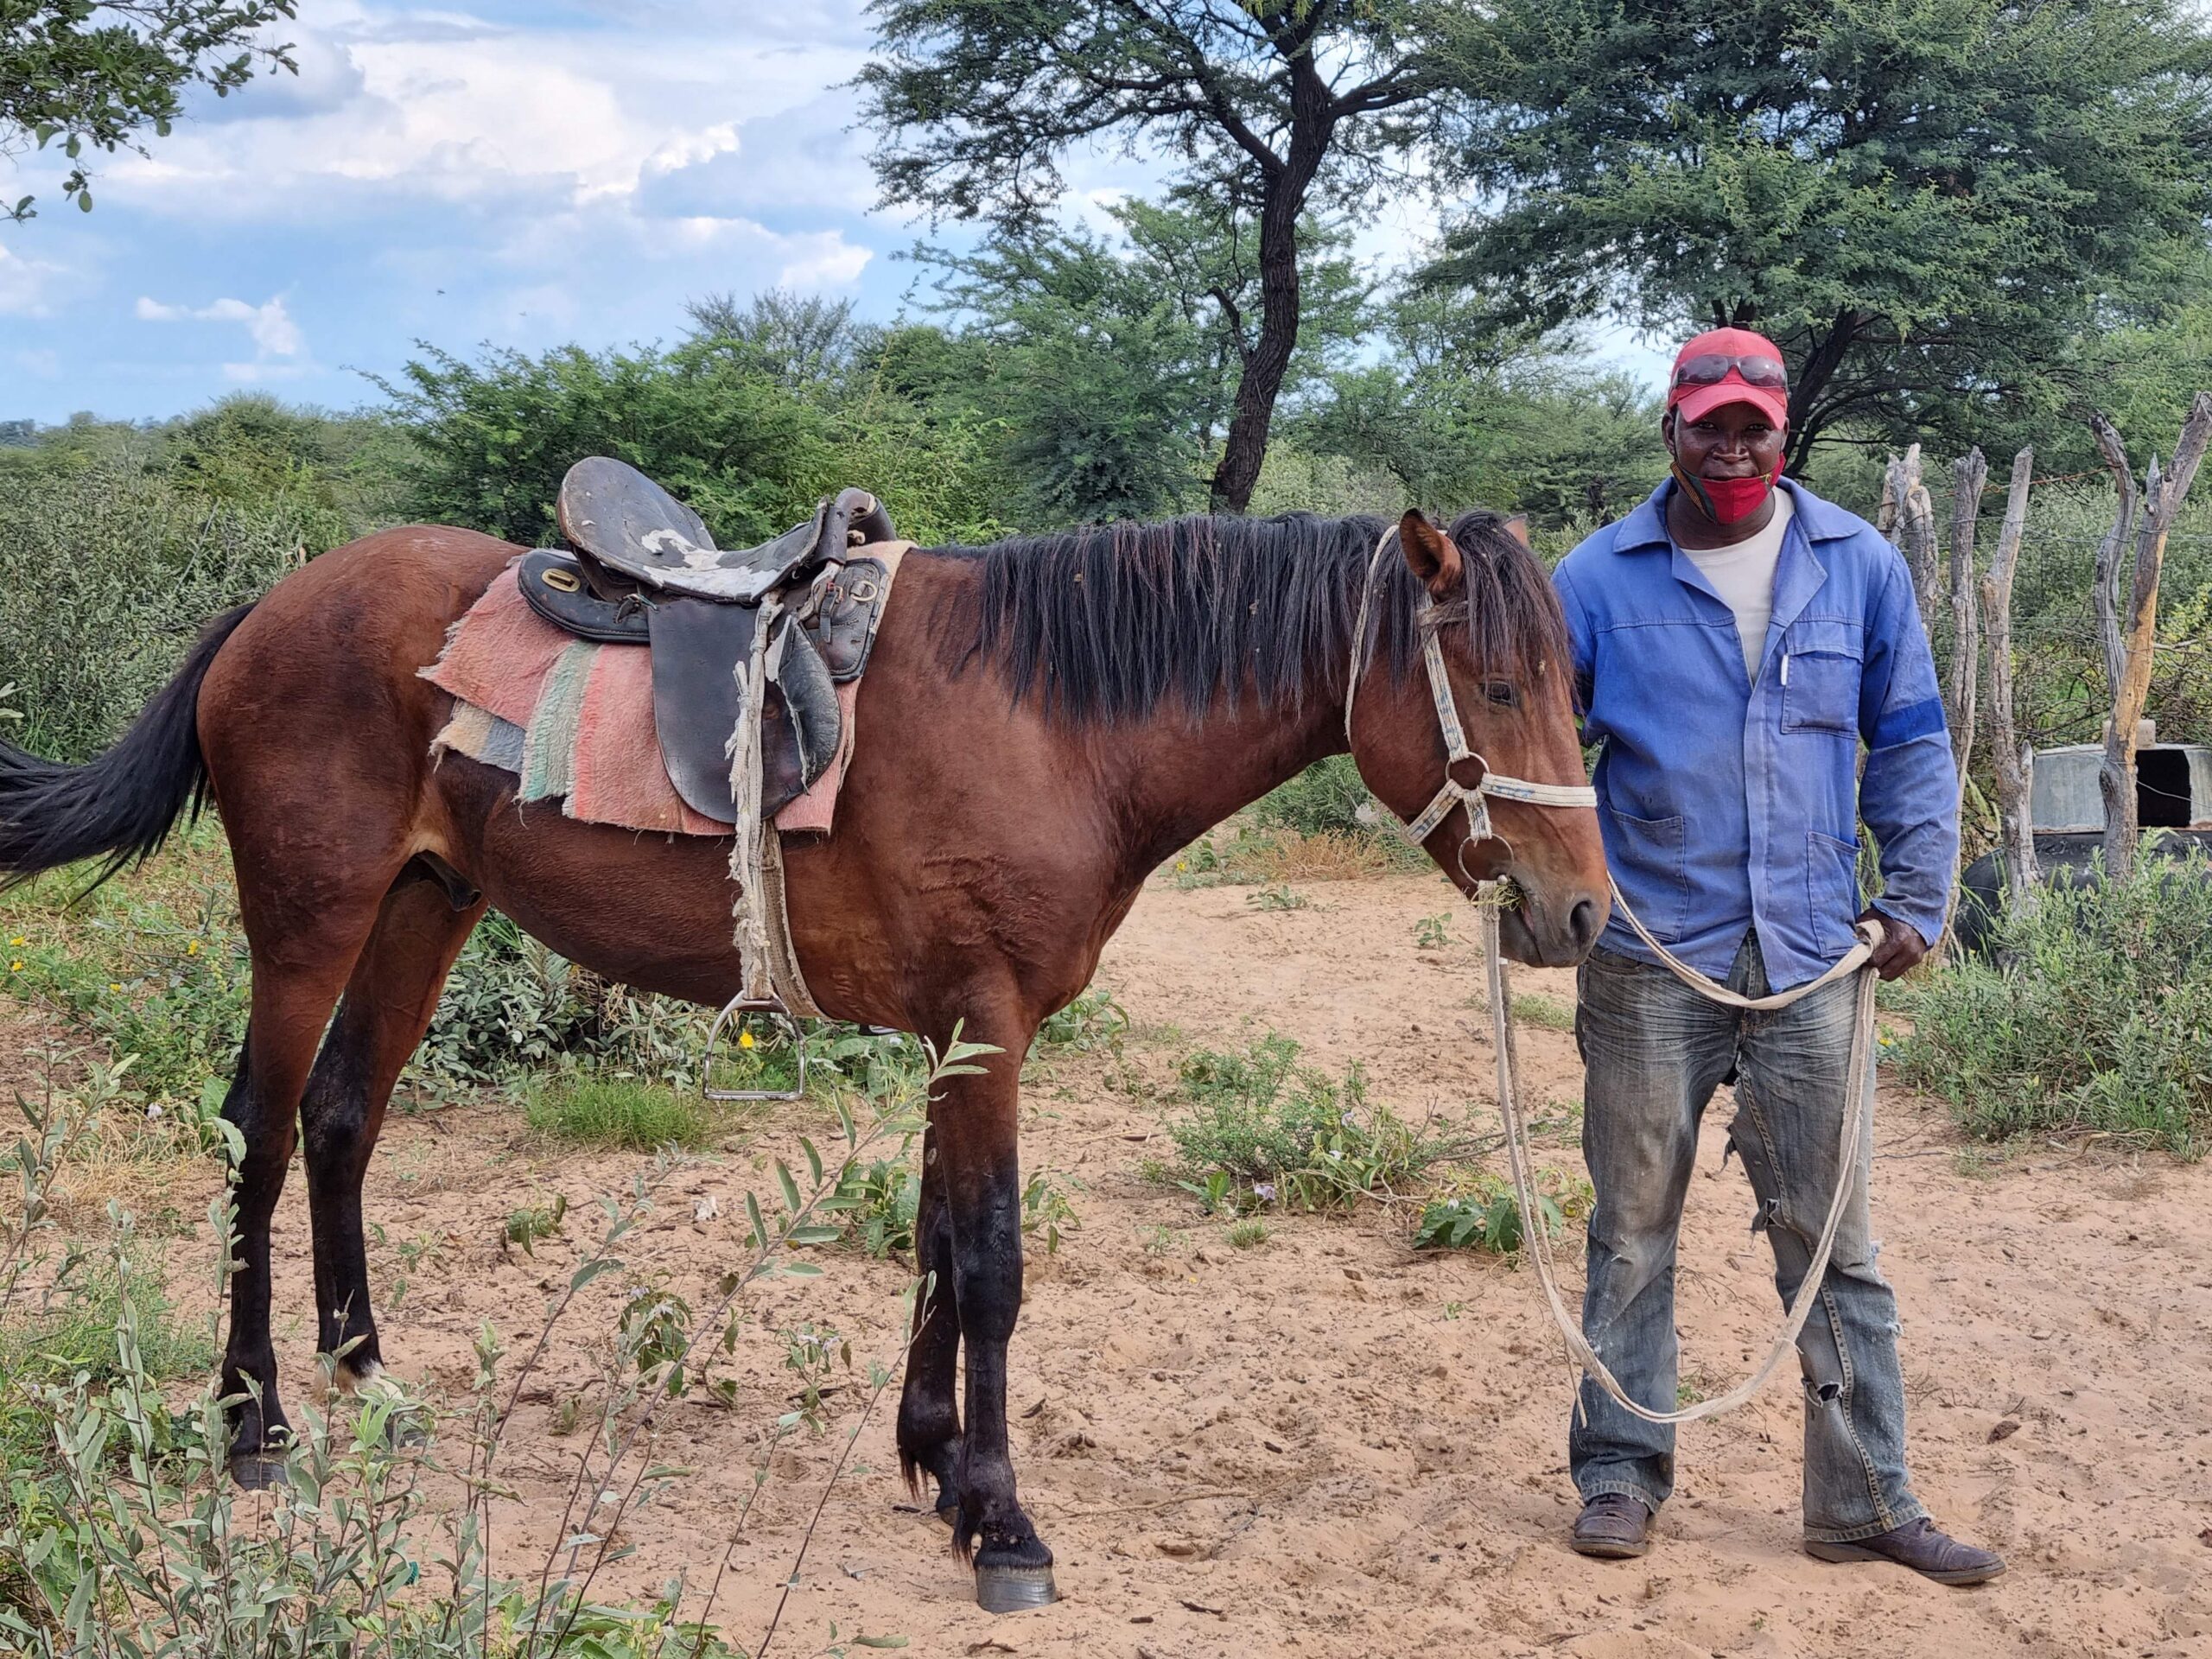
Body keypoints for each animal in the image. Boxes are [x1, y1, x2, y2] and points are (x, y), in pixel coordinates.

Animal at [0, 504, 1610, 1610]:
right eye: (1502, 687)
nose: (1584, 911)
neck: (1055, 721)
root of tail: (273, 608)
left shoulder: (959, 1031)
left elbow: (937, 1241)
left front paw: (934, 1461)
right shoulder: (989, 1024)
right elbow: (993, 1261)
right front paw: (1002, 1522)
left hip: (423, 904)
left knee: (343, 1118)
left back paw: (366, 1375)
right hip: (310, 919)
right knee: (259, 1134)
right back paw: (255, 1419)